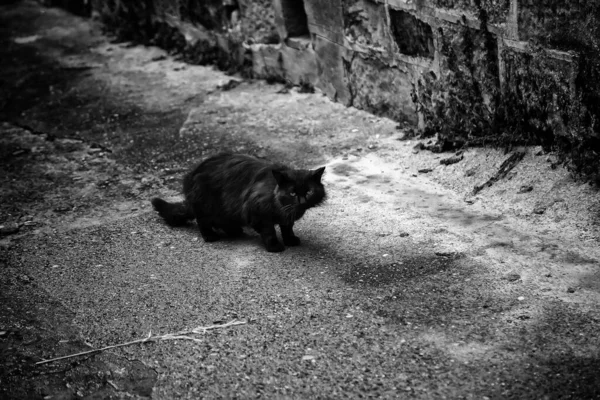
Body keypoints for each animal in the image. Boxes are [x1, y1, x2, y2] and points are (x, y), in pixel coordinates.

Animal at [152, 154, 326, 253]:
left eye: (309, 192)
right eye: (293, 193)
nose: (302, 201)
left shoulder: (286, 218)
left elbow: (287, 229)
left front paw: (290, 240)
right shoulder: (257, 213)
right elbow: (269, 231)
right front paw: (274, 246)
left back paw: (235, 231)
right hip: (205, 203)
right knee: (202, 221)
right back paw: (211, 236)